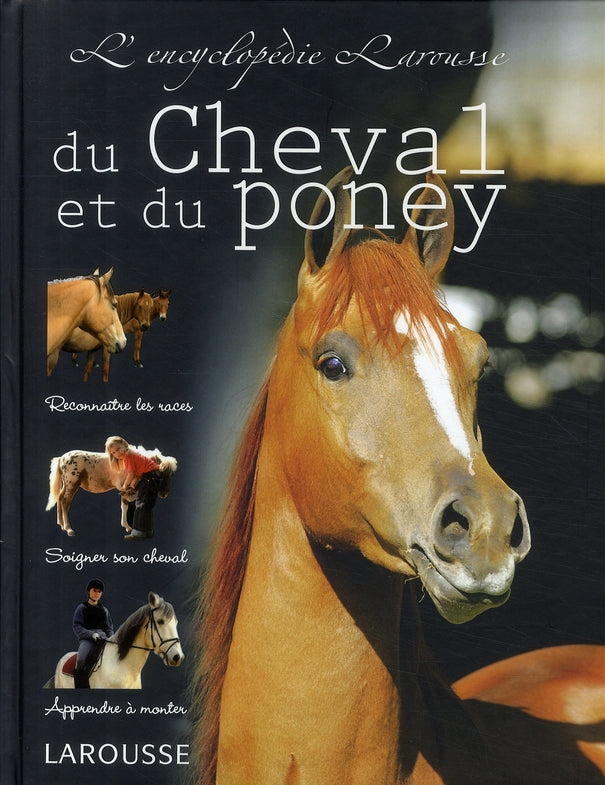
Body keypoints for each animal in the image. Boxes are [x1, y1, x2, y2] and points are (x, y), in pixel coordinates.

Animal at [46, 447, 177, 536]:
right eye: (158, 474)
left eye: (170, 475)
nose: (164, 494)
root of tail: (62, 458)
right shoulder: (125, 488)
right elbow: (125, 506)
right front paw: (128, 527)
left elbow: (125, 506)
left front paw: (127, 527)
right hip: (72, 485)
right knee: (65, 503)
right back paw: (69, 529)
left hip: (66, 485)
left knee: (60, 498)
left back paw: (61, 525)